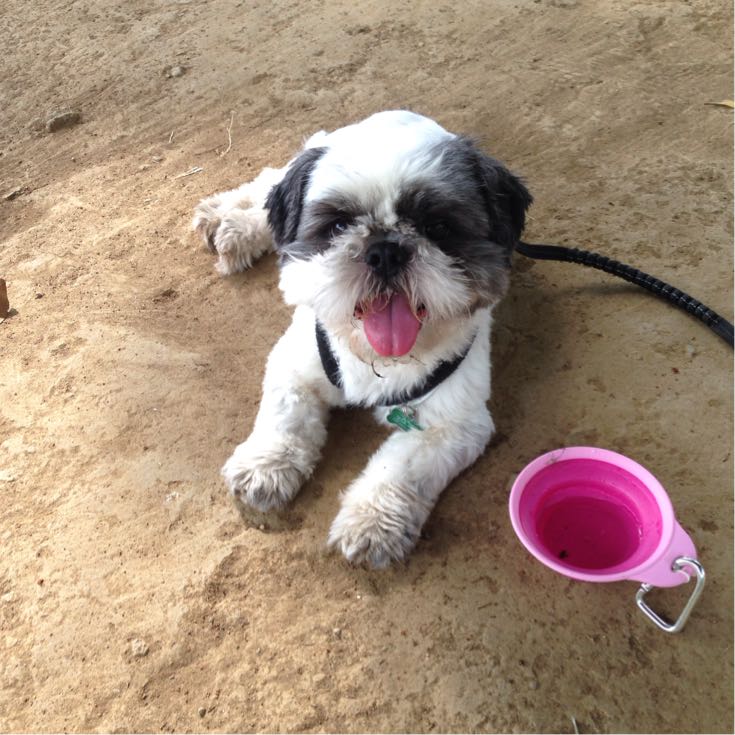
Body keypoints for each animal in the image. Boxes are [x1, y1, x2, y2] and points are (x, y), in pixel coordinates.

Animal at [193, 110, 532, 568]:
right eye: (338, 225)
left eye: (438, 227)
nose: (385, 250)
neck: (377, 359)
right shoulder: (294, 365)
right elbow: (286, 417)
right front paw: (268, 465)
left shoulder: (456, 423)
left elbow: (401, 467)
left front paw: (372, 523)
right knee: (266, 185)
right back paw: (230, 223)